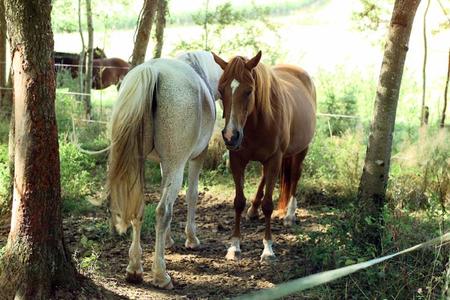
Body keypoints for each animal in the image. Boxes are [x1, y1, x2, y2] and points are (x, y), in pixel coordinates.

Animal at [107, 51, 223, 288]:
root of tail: (152, 71)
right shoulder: (195, 158)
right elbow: (192, 194)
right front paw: (191, 239)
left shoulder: (164, 164)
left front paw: (168, 240)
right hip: (176, 165)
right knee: (162, 211)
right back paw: (161, 274)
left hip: (141, 164)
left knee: (139, 208)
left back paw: (134, 268)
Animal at [212, 51, 314, 262]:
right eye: (220, 89)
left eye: (249, 91)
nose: (230, 136)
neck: (258, 121)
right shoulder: (237, 160)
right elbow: (238, 201)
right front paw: (234, 246)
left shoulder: (274, 159)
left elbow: (268, 204)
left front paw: (268, 249)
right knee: (264, 177)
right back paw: (253, 210)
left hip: (301, 150)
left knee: (295, 177)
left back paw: (289, 215)